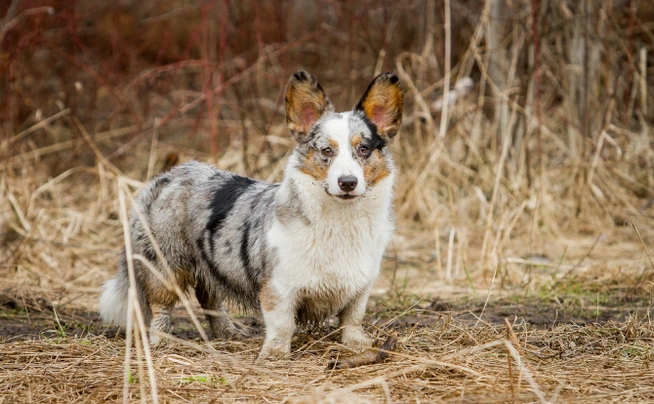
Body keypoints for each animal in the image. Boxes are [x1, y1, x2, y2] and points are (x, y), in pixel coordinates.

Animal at [100, 71, 404, 358]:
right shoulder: (278, 287)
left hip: (213, 265)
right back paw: (161, 340)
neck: (340, 220)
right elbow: (282, 323)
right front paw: (275, 354)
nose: (348, 183)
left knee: (210, 300)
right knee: (162, 306)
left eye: (363, 149)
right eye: (326, 150)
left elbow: (352, 317)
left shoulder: (361, 286)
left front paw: (358, 344)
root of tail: (163, 179)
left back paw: (228, 332)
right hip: (165, 267)